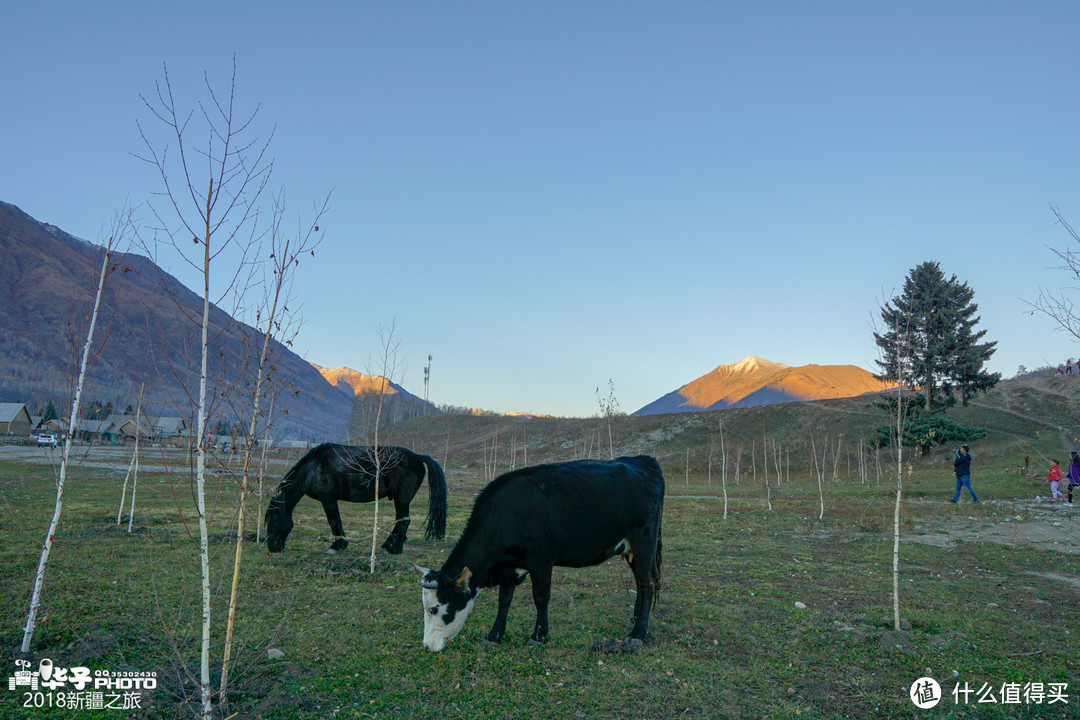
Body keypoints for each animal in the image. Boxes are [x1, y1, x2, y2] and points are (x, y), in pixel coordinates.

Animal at [265, 442, 447, 557]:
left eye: (273, 521)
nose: (272, 547)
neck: (312, 468)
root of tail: (417, 457)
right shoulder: (330, 500)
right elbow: (337, 522)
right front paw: (341, 545)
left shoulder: (328, 499)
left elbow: (334, 522)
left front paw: (336, 546)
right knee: (399, 522)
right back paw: (388, 545)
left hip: (402, 500)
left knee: (403, 522)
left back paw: (394, 549)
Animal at [414, 455, 660, 651]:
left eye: (434, 609)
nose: (427, 646)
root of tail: (641, 460)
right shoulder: (509, 567)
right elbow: (504, 601)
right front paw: (494, 636)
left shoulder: (541, 561)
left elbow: (541, 598)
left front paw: (538, 637)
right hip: (630, 550)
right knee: (640, 584)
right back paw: (633, 622)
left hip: (644, 541)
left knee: (646, 585)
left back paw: (637, 635)